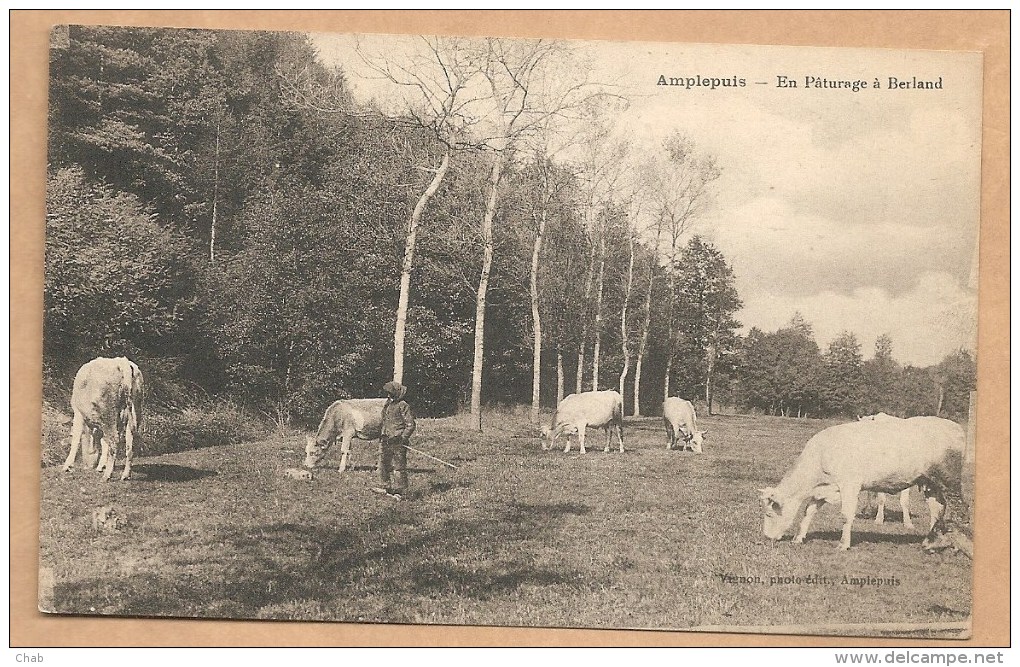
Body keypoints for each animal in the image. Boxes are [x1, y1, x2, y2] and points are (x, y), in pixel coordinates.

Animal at [758, 418, 962, 554]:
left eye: (769, 514)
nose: (766, 537)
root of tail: (956, 426)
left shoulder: (850, 484)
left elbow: (846, 515)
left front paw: (843, 544)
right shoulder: (823, 489)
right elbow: (808, 512)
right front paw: (798, 538)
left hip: (951, 481)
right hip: (931, 484)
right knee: (937, 509)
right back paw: (932, 542)